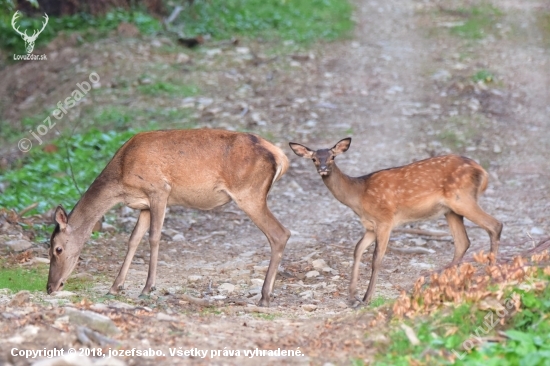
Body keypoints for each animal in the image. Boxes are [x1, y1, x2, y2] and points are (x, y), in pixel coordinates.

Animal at [46, 129, 294, 306]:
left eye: (57, 249)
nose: (50, 287)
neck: (121, 179)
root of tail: (281, 157)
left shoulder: (159, 189)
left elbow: (154, 237)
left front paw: (147, 288)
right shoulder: (144, 205)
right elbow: (133, 240)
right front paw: (115, 287)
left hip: (249, 193)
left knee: (280, 233)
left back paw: (264, 297)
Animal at [288, 139, 504, 304]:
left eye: (332, 157)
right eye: (314, 159)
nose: (323, 169)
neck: (359, 195)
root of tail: (481, 170)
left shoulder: (385, 220)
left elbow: (376, 258)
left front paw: (366, 298)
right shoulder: (370, 226)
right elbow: (357, 250)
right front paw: (351, 295)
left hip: (462, 198)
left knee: (495, 225)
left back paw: (490, 275)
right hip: (451, 210)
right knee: (463, 241)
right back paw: (443, 281)